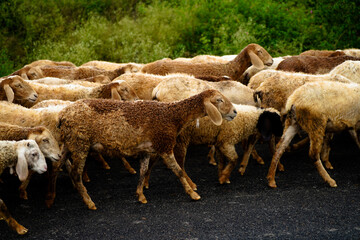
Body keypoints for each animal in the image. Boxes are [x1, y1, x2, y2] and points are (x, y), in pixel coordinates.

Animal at [49, 90, 238, 210]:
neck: (173, 116)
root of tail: (62, 115)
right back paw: (89, 203)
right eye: (219, 100)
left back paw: (50, 199)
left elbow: (143, 171)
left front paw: (140, 195)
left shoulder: (147, 150)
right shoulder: (164, 146)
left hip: (69, 144)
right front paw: (192, 193)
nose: (235, 112)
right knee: (75, 174)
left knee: (57, 166)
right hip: (80, 144)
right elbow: (178, 171)